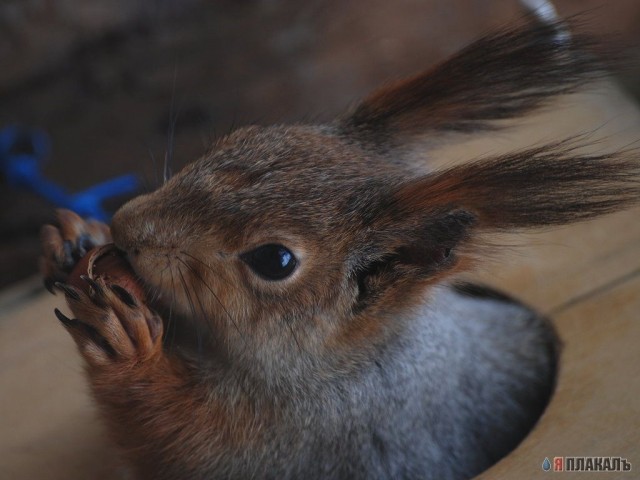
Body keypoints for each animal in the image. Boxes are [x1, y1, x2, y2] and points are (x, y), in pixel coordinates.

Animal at [41, 20, 640, 480]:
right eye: (243, 136)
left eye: (275, 261)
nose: (126, 224)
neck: (347, 366)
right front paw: (76, 236)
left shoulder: (308, 435)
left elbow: (172, 439)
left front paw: (131, 345)